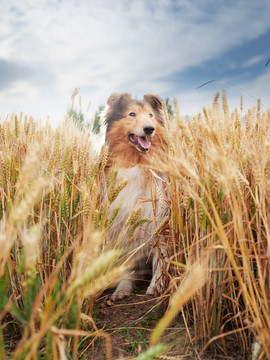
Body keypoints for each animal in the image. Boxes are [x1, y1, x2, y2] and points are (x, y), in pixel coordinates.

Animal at [103, 93, 169, 300]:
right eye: (132, 114)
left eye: (150, 115)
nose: (149, 129)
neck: (138, 164)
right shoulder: (123, 223)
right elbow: (127, 263)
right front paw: (122, 288)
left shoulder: (160, 222)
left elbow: (160, 258)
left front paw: (157, 285)